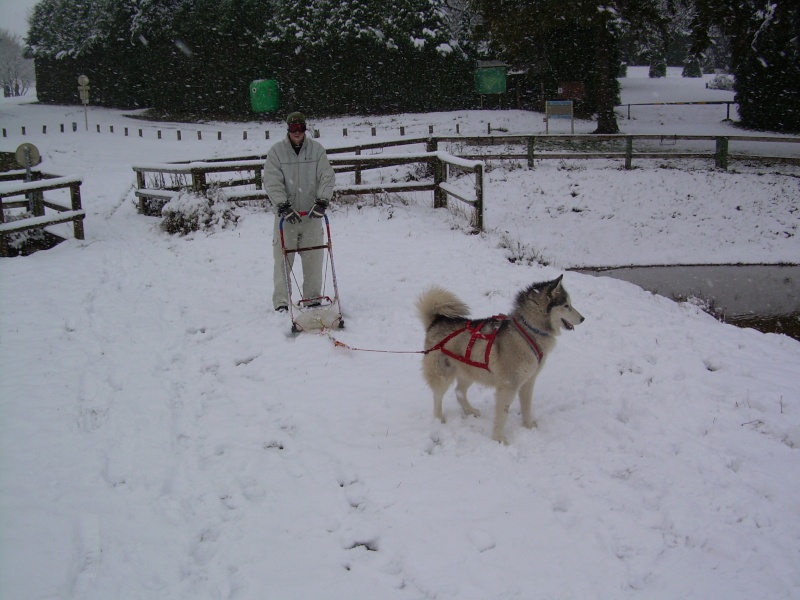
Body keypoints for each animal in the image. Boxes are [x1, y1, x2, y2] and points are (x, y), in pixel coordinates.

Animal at [418, 276, 580, 446]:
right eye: (566, 305)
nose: (583, 318)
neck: (528, 331)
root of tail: (437, 320)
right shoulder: (509, 385)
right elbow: (502, 415)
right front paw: (499, 439)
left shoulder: (528, 381)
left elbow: (527, 407)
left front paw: (528, 426)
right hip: (443, 373)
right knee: (437, 397)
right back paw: (439, 419)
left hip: (471, 370)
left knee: (459, 392)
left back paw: (470, 411)